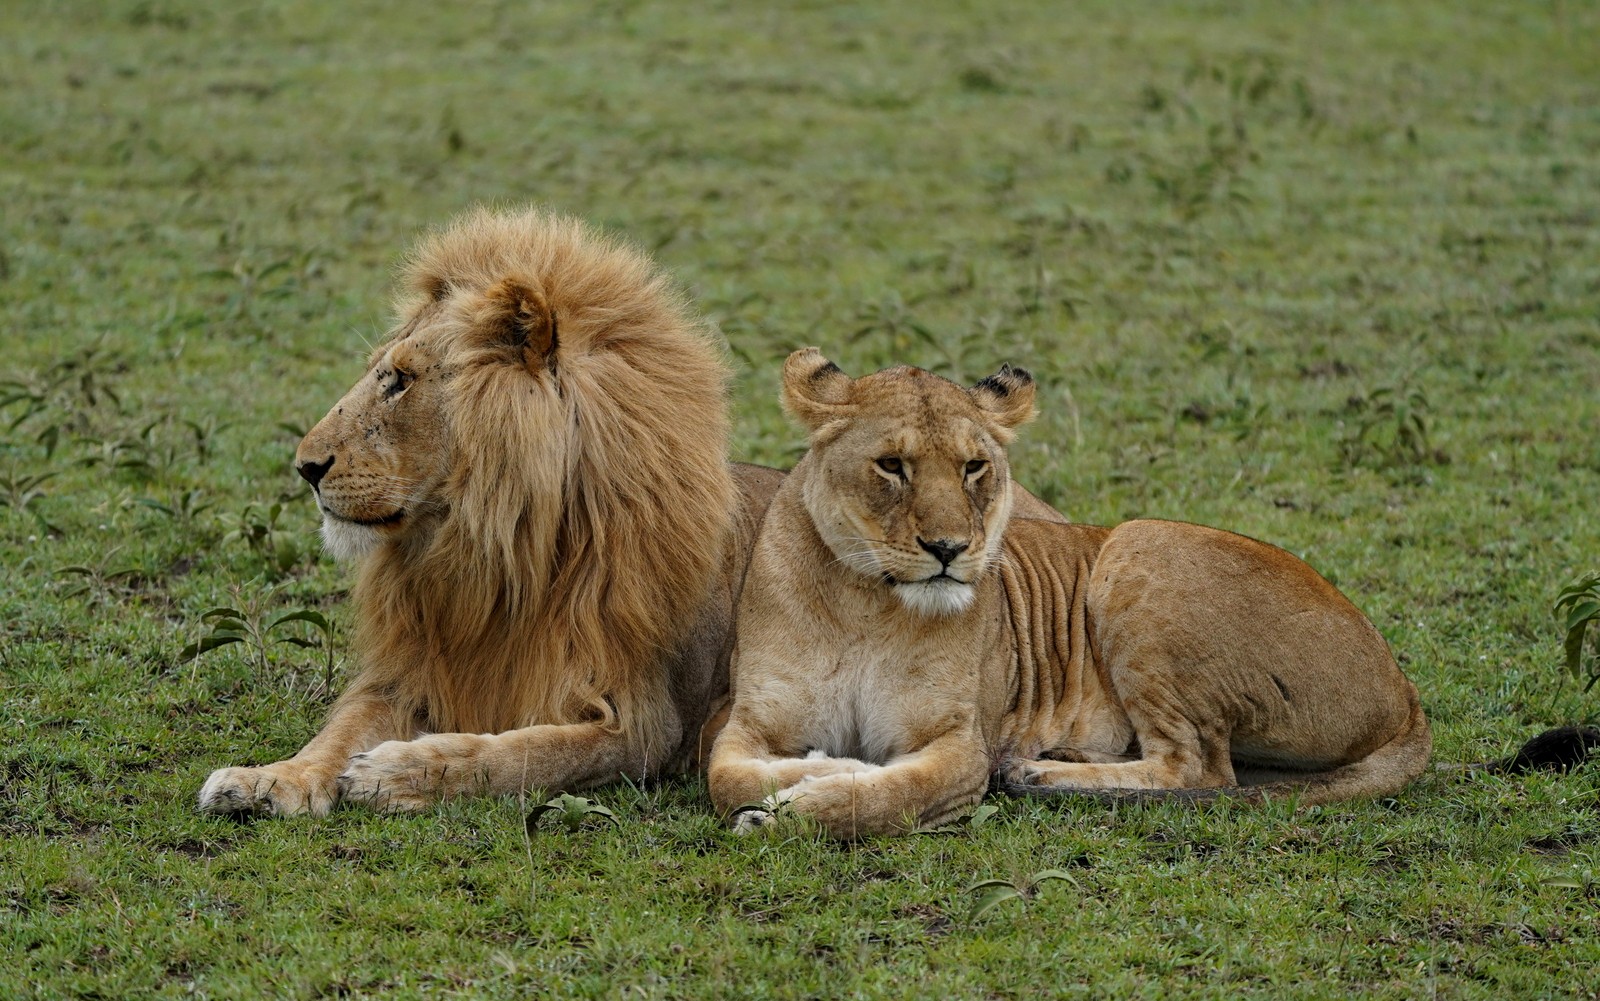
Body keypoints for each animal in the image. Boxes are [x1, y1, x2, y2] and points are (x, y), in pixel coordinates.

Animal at [198, 207, 787, 812]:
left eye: (401, 381)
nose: (305, 467)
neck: (497, 555)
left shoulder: (644, 725)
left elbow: (525, 753)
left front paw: (396, 770)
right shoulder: (407, 675)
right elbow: (337, 732)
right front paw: (271, 780)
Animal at [707, 350, 1433, 831]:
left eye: (974, 467)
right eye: (892, 465)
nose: (949, 549)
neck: (864, 601)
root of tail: (1407, 693)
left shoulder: (960, 746)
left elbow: (891, 793)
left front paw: (804, 799)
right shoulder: (748, 721)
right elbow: (727, 775)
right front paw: (810, 774)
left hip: (1138, 545)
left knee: (1198, 767)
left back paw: (1036, 772)